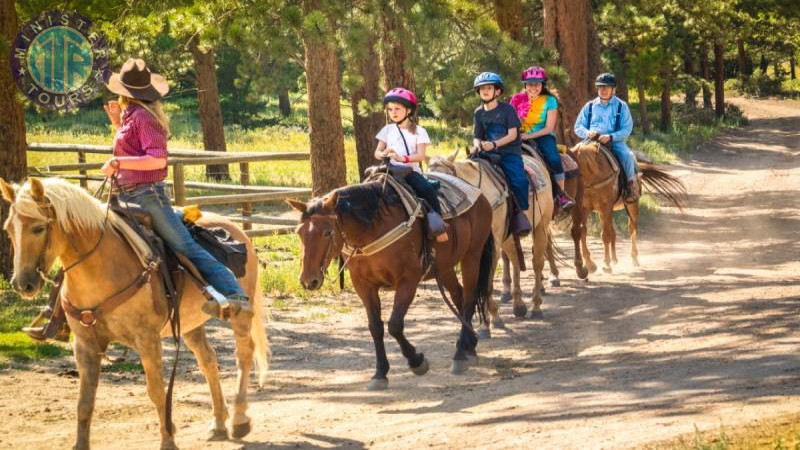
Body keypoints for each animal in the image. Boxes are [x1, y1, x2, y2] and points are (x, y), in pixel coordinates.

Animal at [0, 178, 270, 450]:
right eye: (9, 229)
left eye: (38, 228)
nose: (22, 284)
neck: (103, 268)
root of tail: (239, 231)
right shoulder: (85, 345)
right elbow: (84, 401)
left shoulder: (147, 339)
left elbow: (157, 391)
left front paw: (168, 441)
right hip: (190, 323)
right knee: (208, 360)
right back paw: (218, 423)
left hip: (239, 315)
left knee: (244, 355)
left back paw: (239, 419)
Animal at [284, 179, 490, 390]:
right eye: (299, 232)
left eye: (327, 232)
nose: (308, 280)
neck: (371, 230)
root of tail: (479, 194)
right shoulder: (363, 285)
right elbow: (375, 327)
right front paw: (380, 374)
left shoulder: (408, 280)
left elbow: (394, 325)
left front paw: (417, 362)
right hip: (446, 267)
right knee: (459, 296)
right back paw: (469, 347)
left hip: (472, 255)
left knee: (469, 299)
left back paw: (460, 355)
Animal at [428, 149, 552, 326]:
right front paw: (487, 321)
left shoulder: (491, 247)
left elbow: (485, 282)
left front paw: (491, 320)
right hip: (508, 237)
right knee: (515, 259)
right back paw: (518, 304)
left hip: (542, 224)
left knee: (537, 263)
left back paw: (536, 306)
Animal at [568, 142, 688, 272]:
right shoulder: (584, 208)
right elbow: (583, 232)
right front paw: (590, 264)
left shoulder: (605, 207)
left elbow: (605, 235)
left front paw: (606, 264)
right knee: (613, 231)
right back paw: (615, 259)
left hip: (631, 205)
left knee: (631, 228)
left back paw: (633, 259)